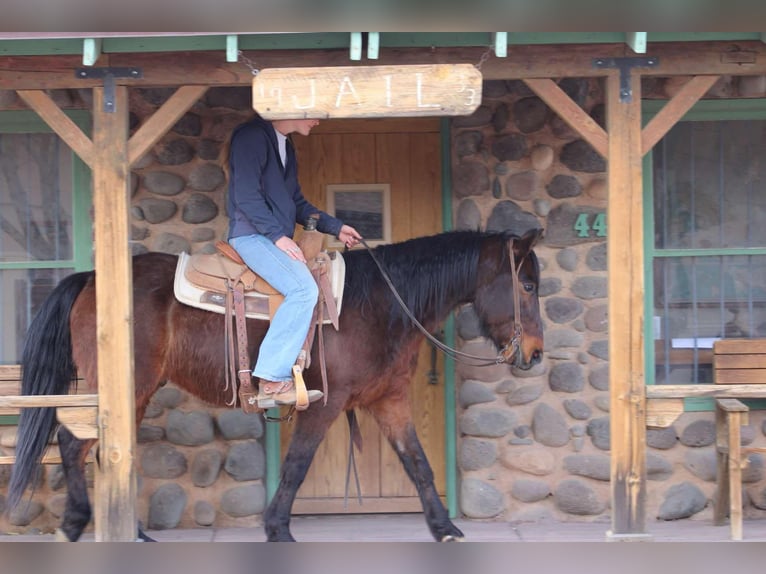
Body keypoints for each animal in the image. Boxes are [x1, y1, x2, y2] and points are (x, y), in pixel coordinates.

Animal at [6, 227, 544, 544]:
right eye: (528, 285)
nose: (536, 353)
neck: (380, 304)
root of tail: (92, 278)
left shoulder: (388, 401)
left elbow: (417, 464)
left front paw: (445, 527)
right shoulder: (325, 404)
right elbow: (297, 465)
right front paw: (278, 529)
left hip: (133, 392)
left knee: (105, 449)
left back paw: (128, 531)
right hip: (125, 387)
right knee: (75, 443)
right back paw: (77, 522)